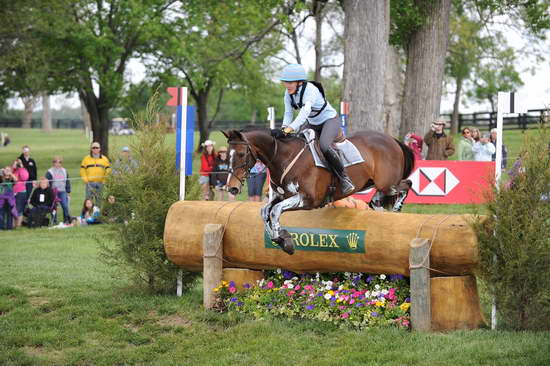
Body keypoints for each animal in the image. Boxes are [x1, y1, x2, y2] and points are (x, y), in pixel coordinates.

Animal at [222, 126, 416, 254]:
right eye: (227, 154)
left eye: (241, 154)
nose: (232, 187)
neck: (283, 157)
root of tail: (392, 140)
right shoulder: (280, 197)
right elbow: (265, 212)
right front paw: (278, 237)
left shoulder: (307, 199)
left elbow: (275, 211)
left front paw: (284, 241)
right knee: (379, 198)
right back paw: (379, 207)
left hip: (387, 183)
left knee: (406, 185)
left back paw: (396, 209)